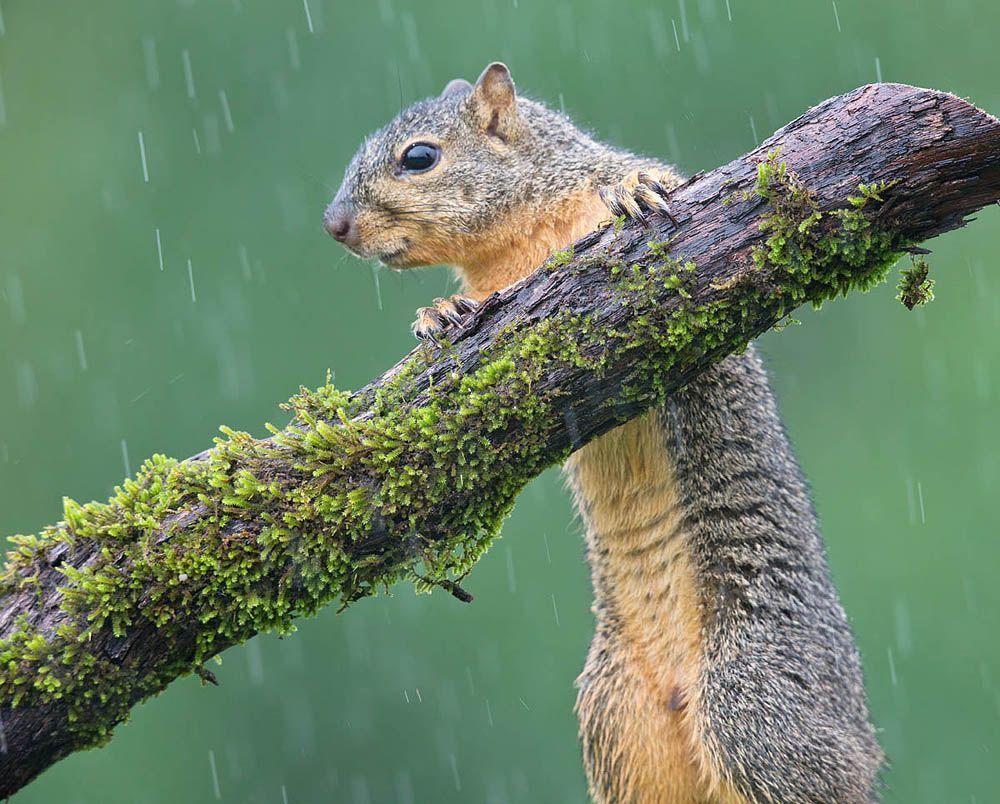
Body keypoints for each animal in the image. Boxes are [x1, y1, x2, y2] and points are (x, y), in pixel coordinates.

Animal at [324, 63, 883, 803]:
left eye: (419, 157)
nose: (334, 224)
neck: (521, 243)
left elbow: (650, 185)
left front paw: (634, 190)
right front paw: (437, 313)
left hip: (756, 704)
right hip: (617, 728)